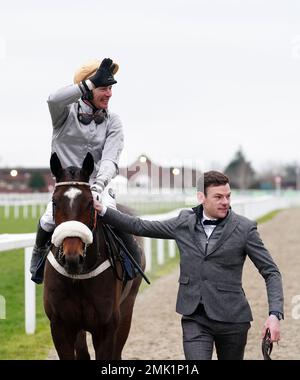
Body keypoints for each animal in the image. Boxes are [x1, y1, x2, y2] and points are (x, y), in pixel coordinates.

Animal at [42, 152, 145, 360]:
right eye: (54, 202)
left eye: (90, 203)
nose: (72, 258)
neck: (79, 277)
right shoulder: (60, 326)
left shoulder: (106, 327)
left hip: (127, 307)